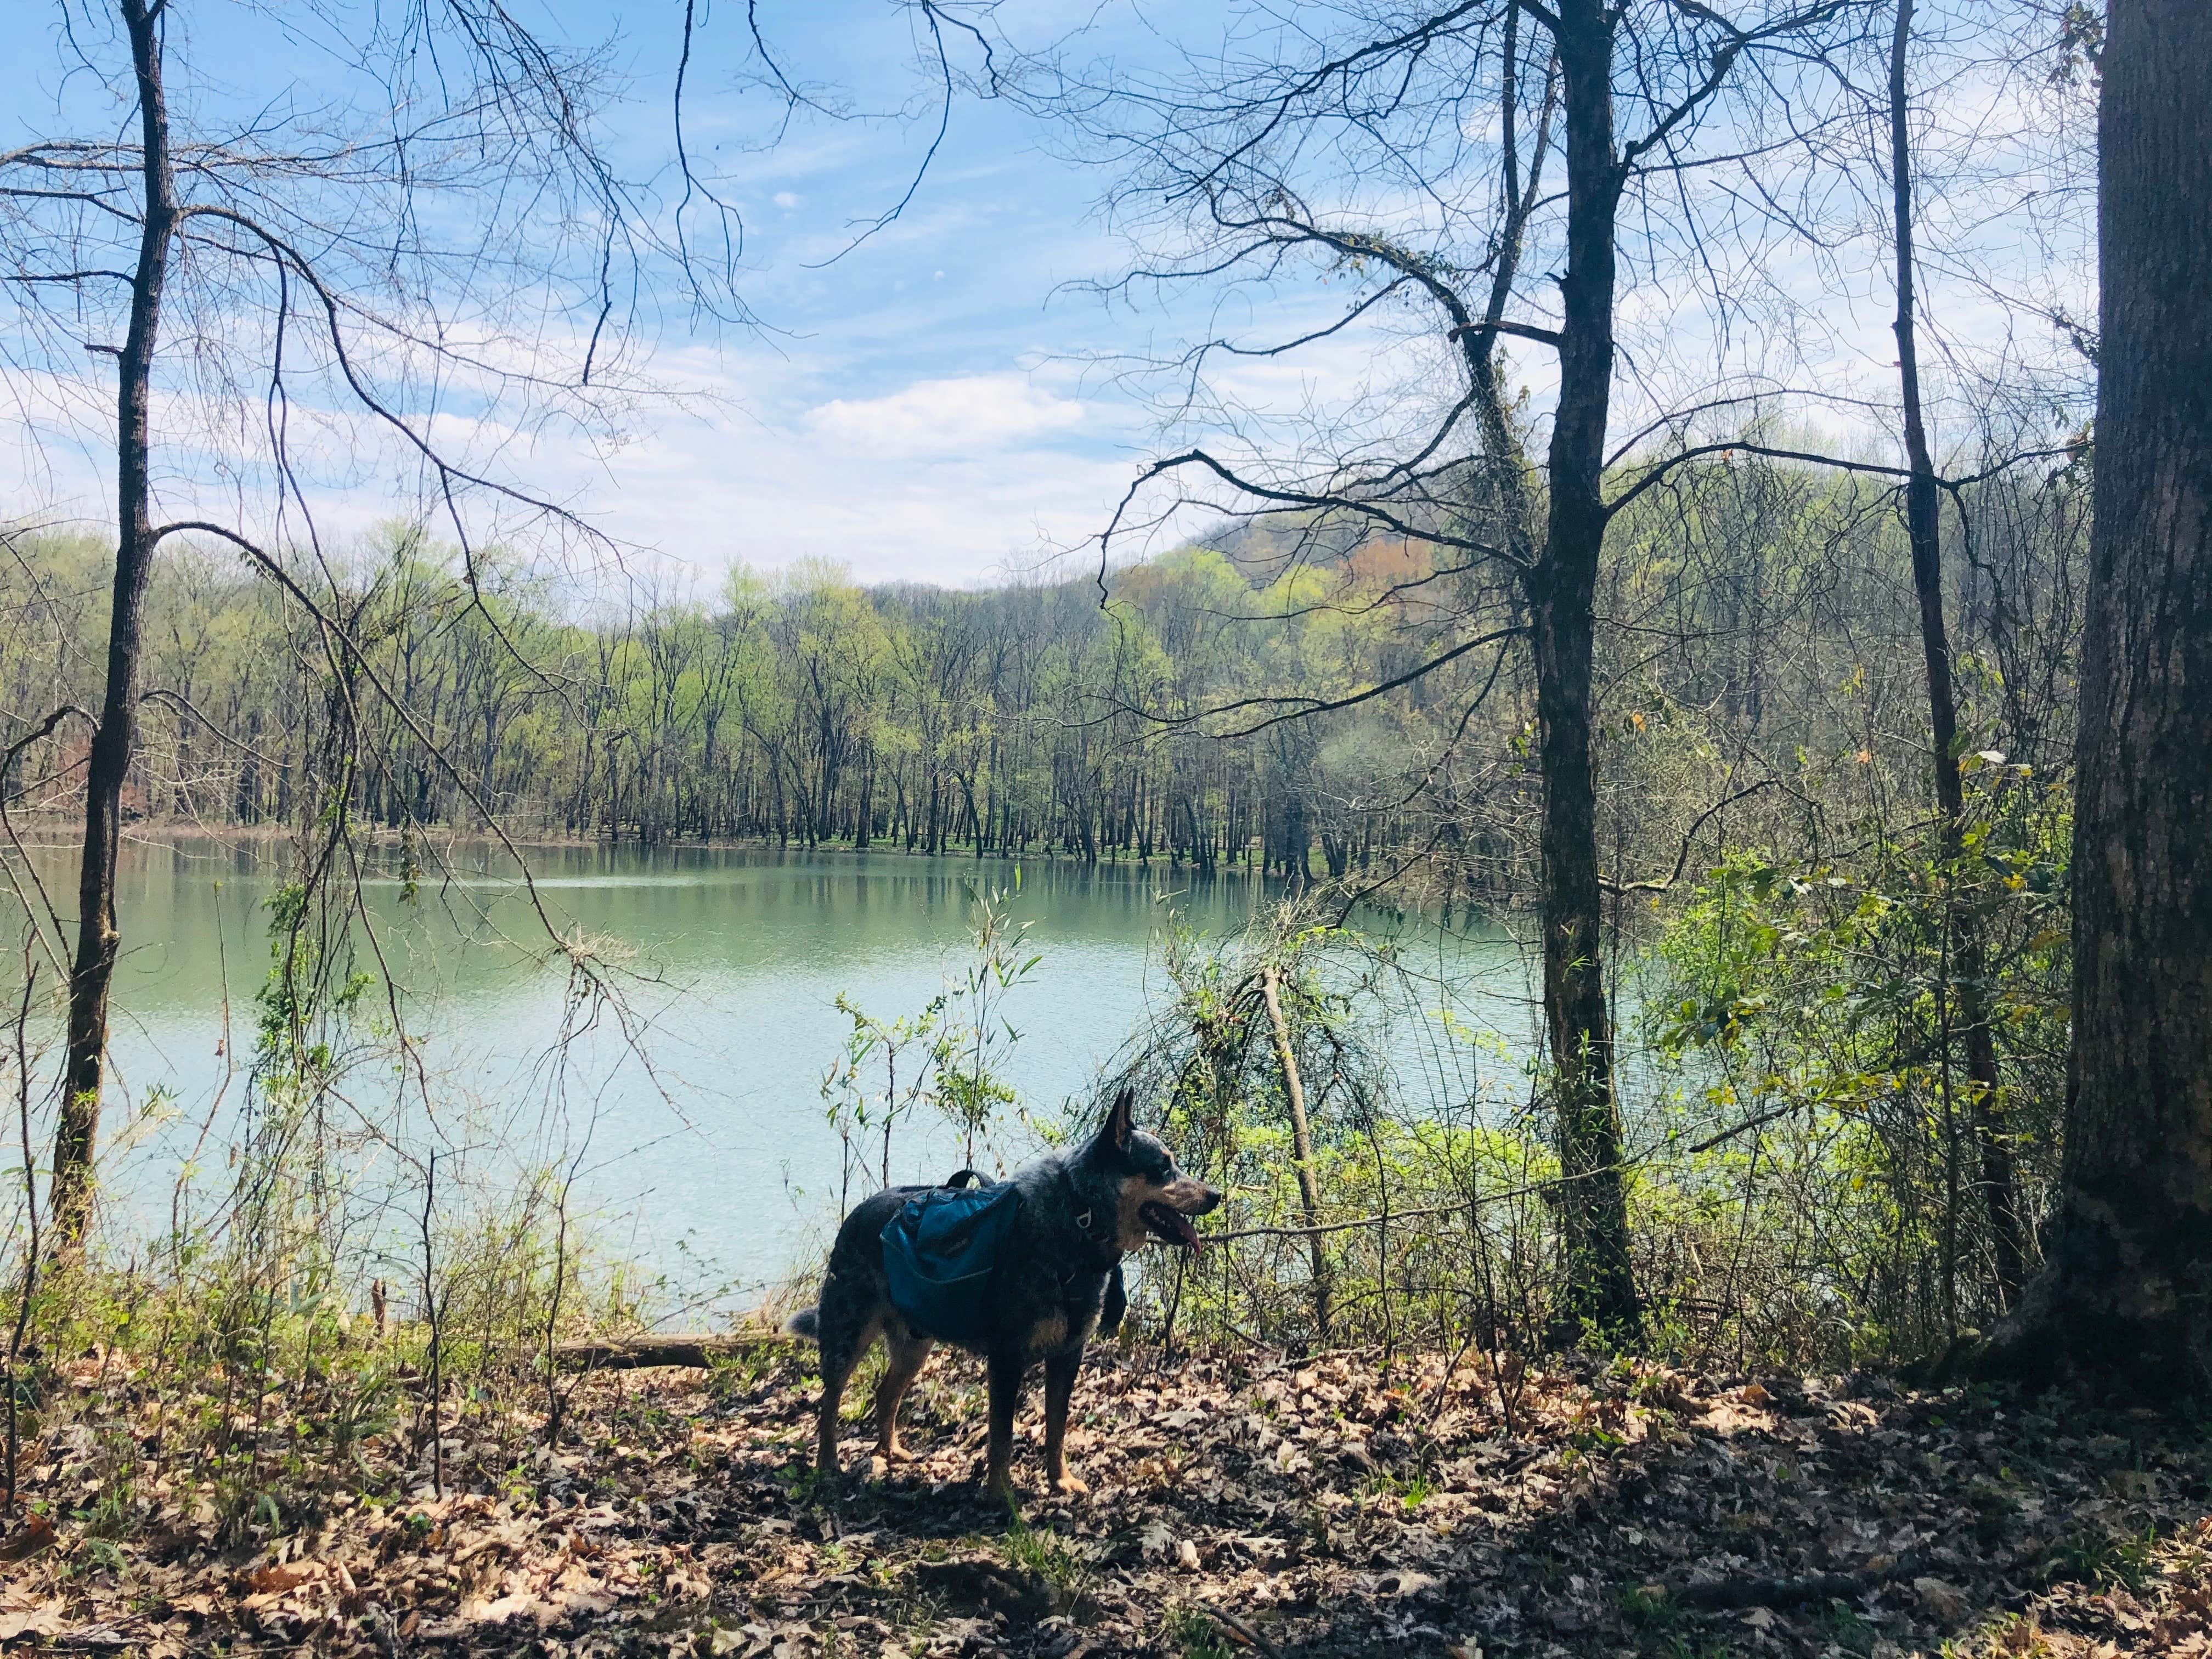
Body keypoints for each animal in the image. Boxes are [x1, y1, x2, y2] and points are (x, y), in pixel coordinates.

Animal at [783, 1092, 1229, 1504]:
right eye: (1162, 1166)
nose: (1216, 1195)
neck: (1078, 1220)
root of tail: (859, 1211)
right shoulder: (1007, 1356)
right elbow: (1001, 1435)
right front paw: (1001, 1495)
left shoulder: (1068, 1353)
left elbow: (1057, 1425)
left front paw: (1060, 1480)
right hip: (848, 1332)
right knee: (829, 1401)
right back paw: (828, 1465)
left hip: (914, 1345)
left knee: (885, 1392)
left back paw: (890, 1451)